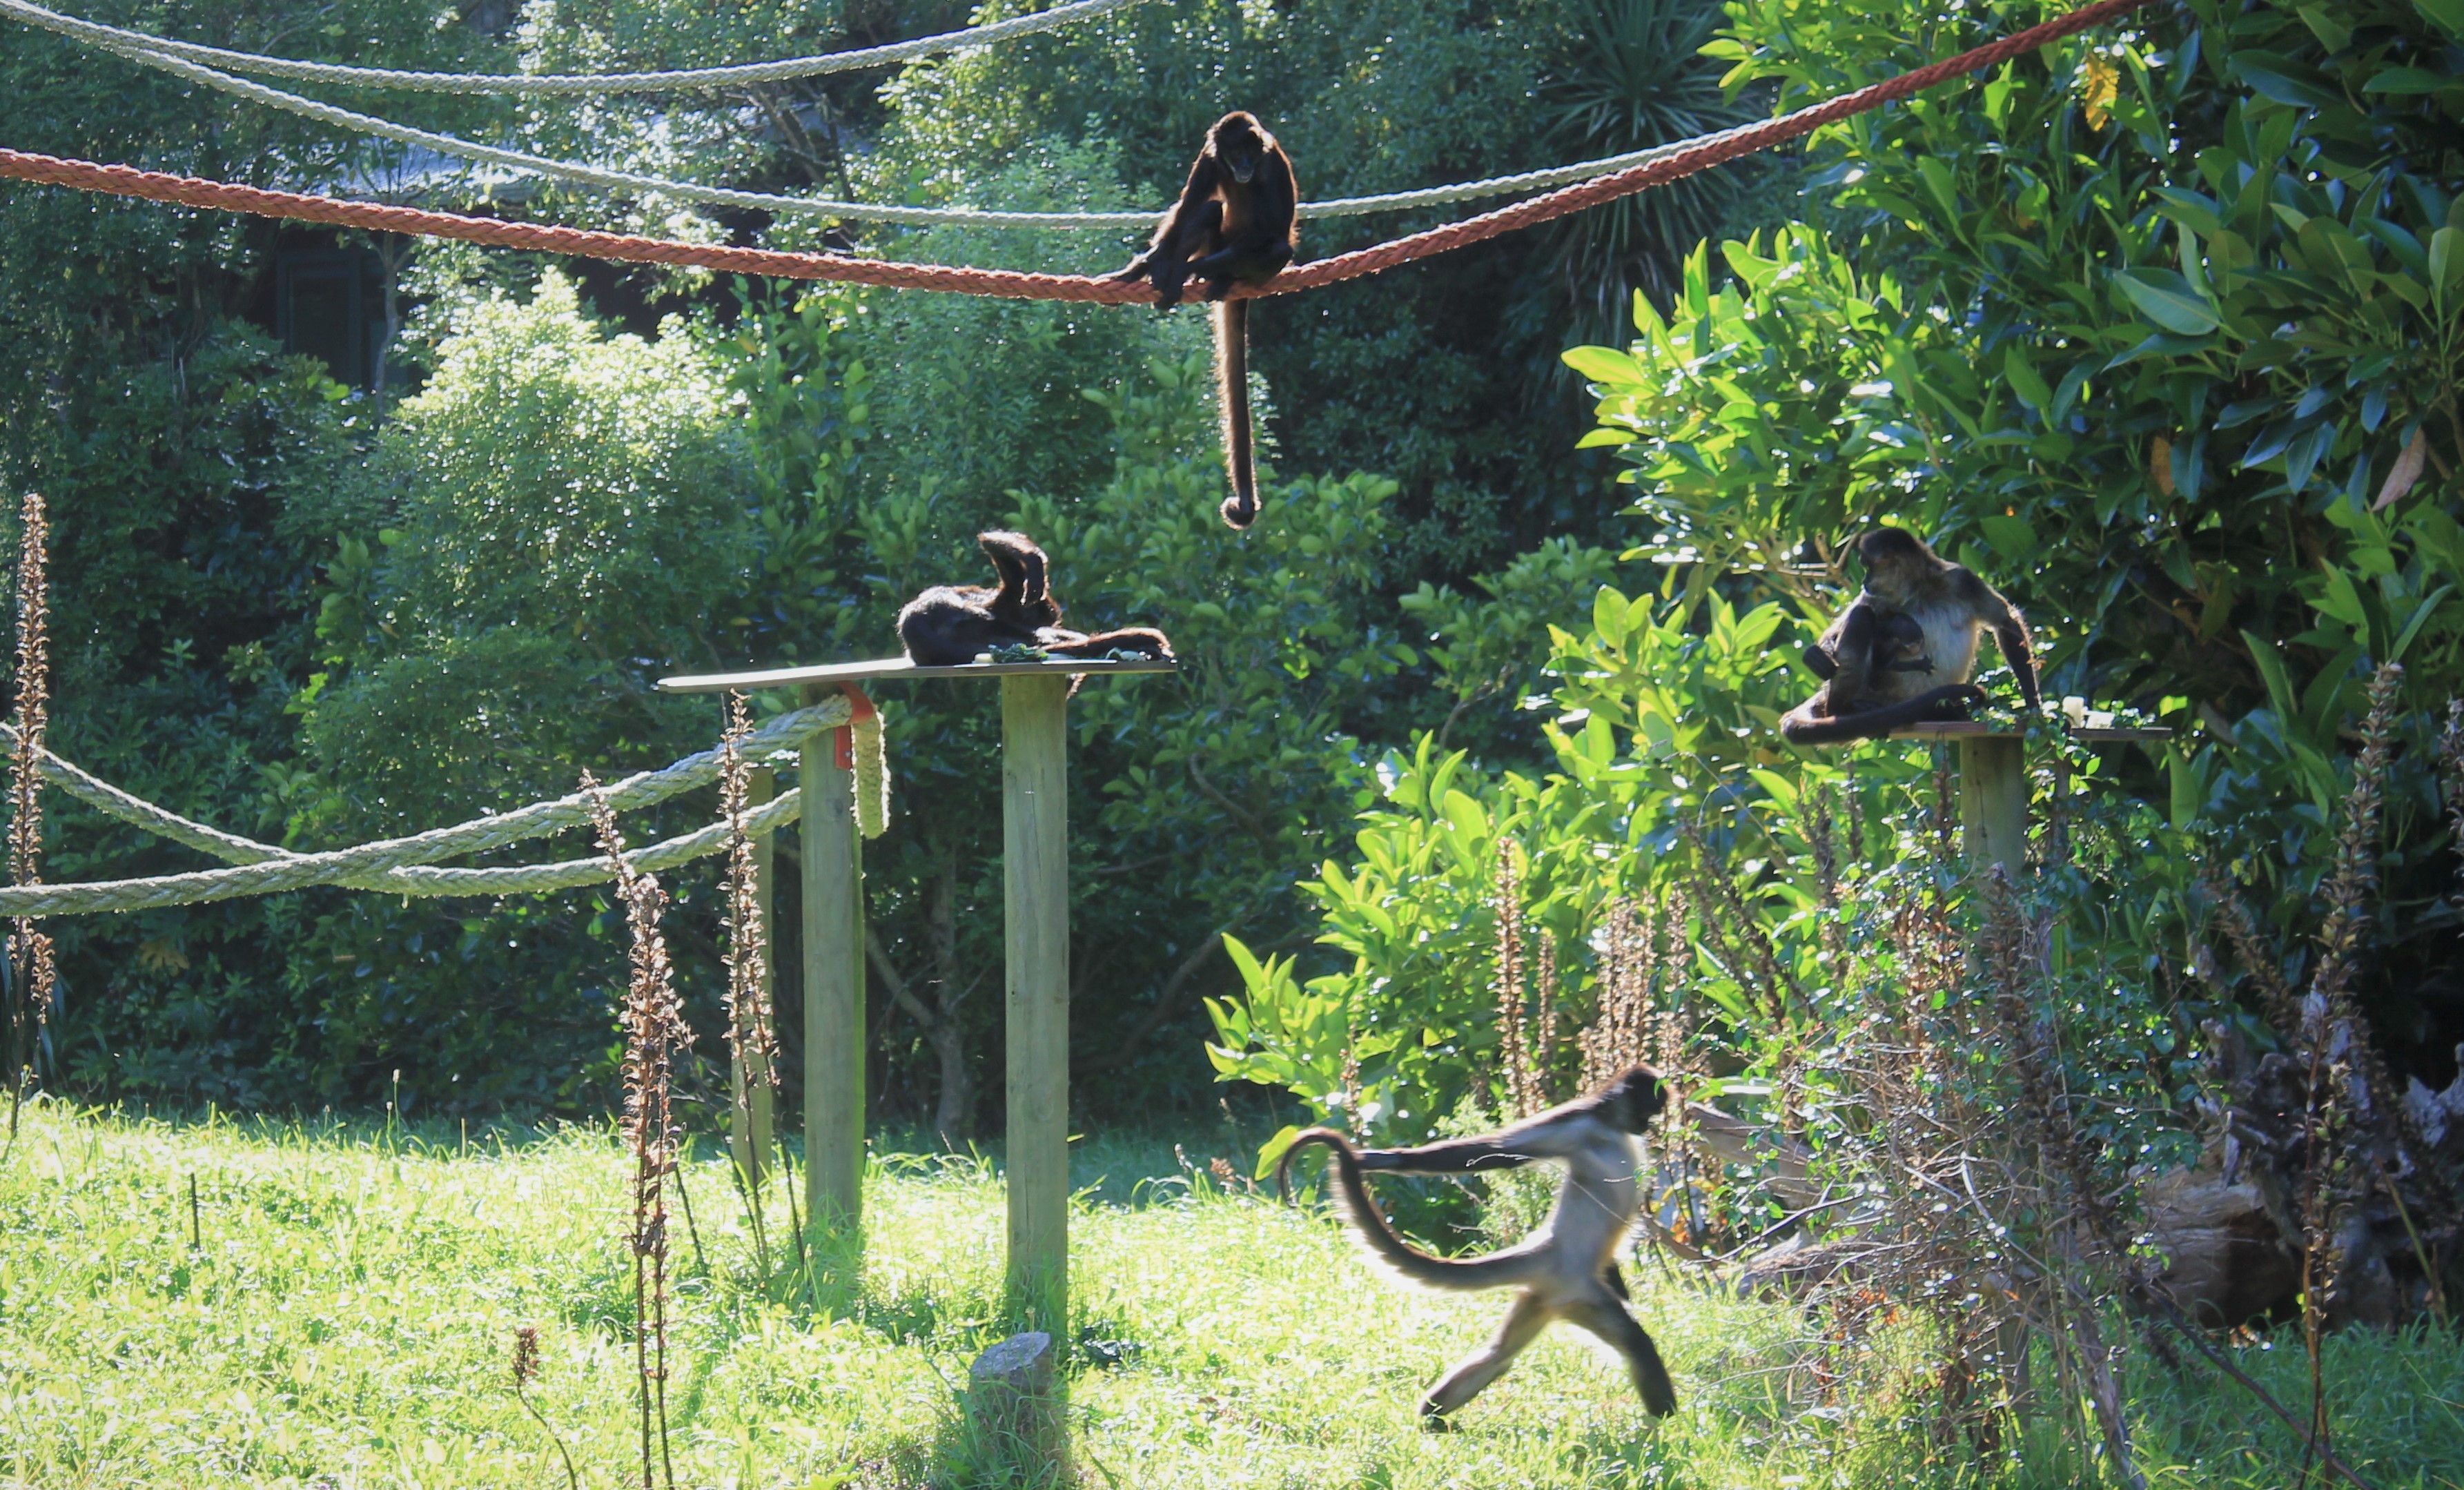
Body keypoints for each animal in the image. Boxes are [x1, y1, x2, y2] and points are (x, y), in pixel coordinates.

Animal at [1113, 111, 1298, 530]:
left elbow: (1269, 232)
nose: (1243, 167)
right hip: (1216, 240)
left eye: (1249, 153)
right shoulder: (1211, 158)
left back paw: (1211, 276)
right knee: (1210, 209)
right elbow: (1187, 209)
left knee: (1277, 247)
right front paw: (1149, 264)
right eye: (1233, 153)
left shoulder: (1270, 163)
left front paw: (1176, 269)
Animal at [1275, 1065, 1679, 1424]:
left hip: (1545, 1297)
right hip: (1580, 1292)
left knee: (1498, 1355)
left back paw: (1430, 1421)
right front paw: (1382, 1159)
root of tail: (1546, 1251)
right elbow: (1494, 1151)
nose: (1646, 1128)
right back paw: (1667, 1428)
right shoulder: (1577, 1121)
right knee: (1638, 1347)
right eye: (1647, 1112)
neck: (1608, 1126)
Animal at [1779, 527, 2041, 746]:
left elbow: (2006, 622)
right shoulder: (1877, 597)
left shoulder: (1962, 579)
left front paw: (2034, 709)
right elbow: (1837, 633)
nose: (1864, 580)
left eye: (1869, 567)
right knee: (1862, 615)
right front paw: (1816, 655)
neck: (1921, 589)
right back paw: (1843, 711)